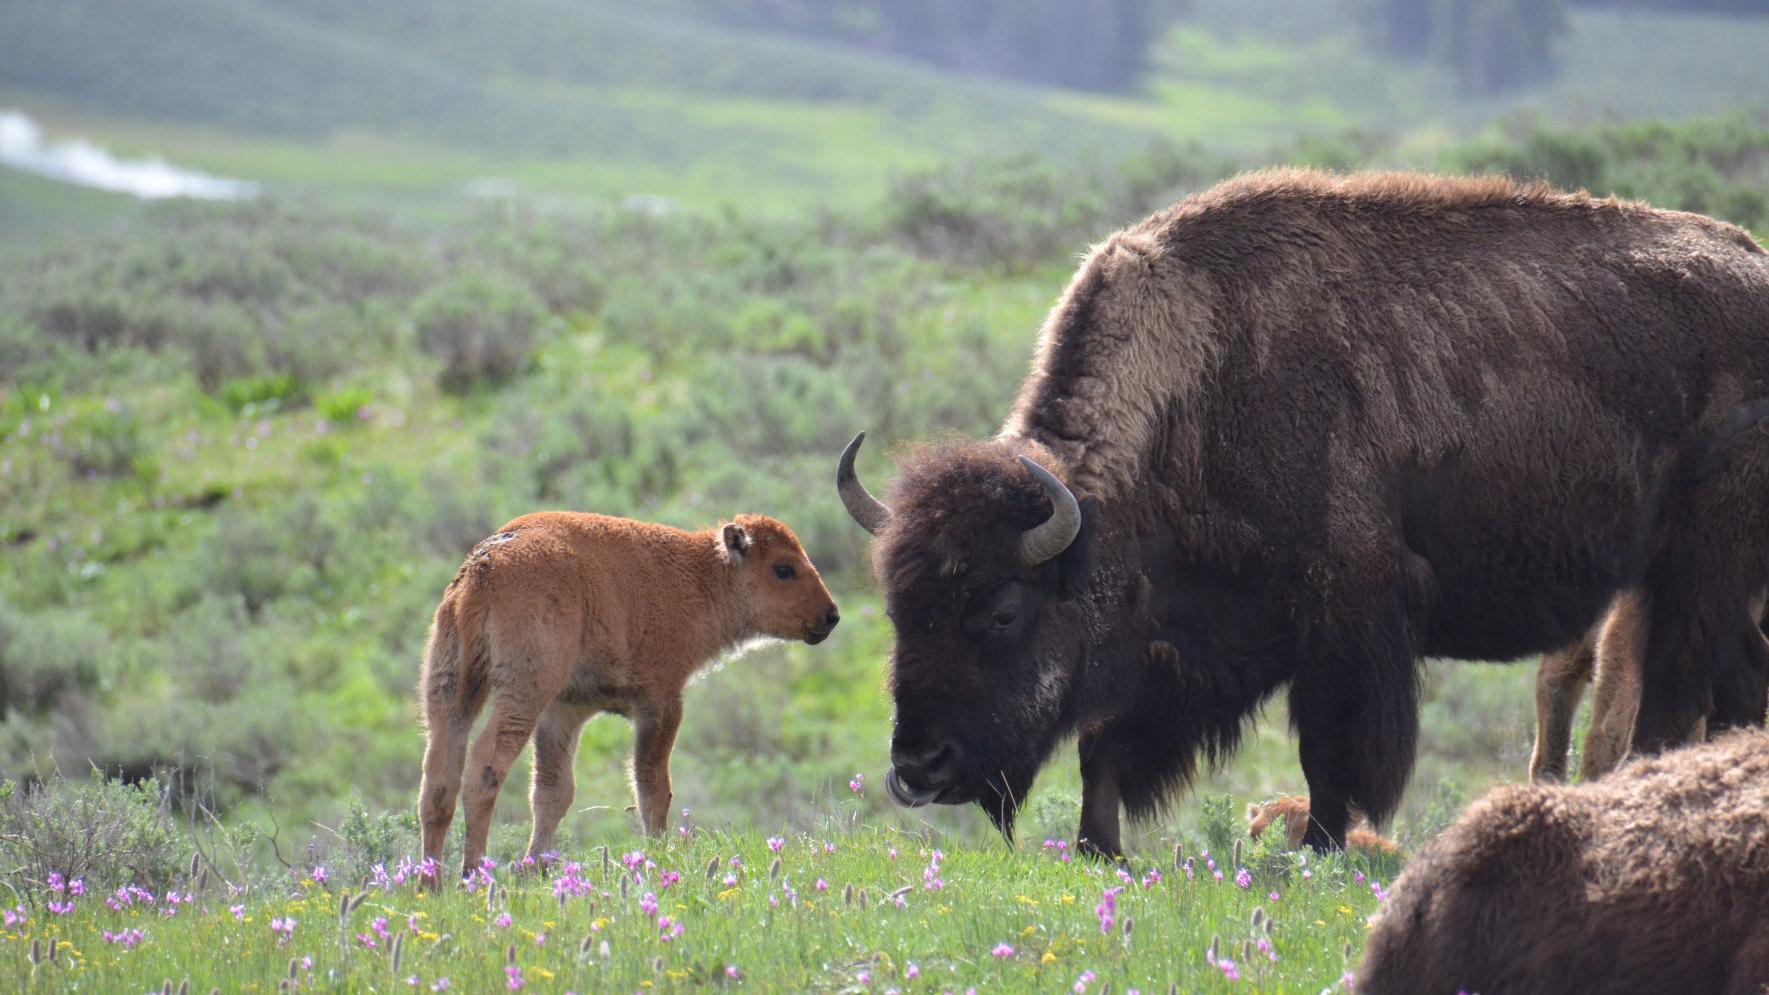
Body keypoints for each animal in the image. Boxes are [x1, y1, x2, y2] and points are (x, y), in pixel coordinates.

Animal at [839, 169, 1769, 854]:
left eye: (1002, 610)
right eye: (897, 609)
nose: (917, 765)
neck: (1197, 387)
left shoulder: (1345, 625)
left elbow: (1329, 754)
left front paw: (1318, 849)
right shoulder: (1189, 640)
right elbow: (1106, 744)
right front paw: (1099, 849)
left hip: (1696, 569)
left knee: (1671, 699)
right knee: (1736, 685)